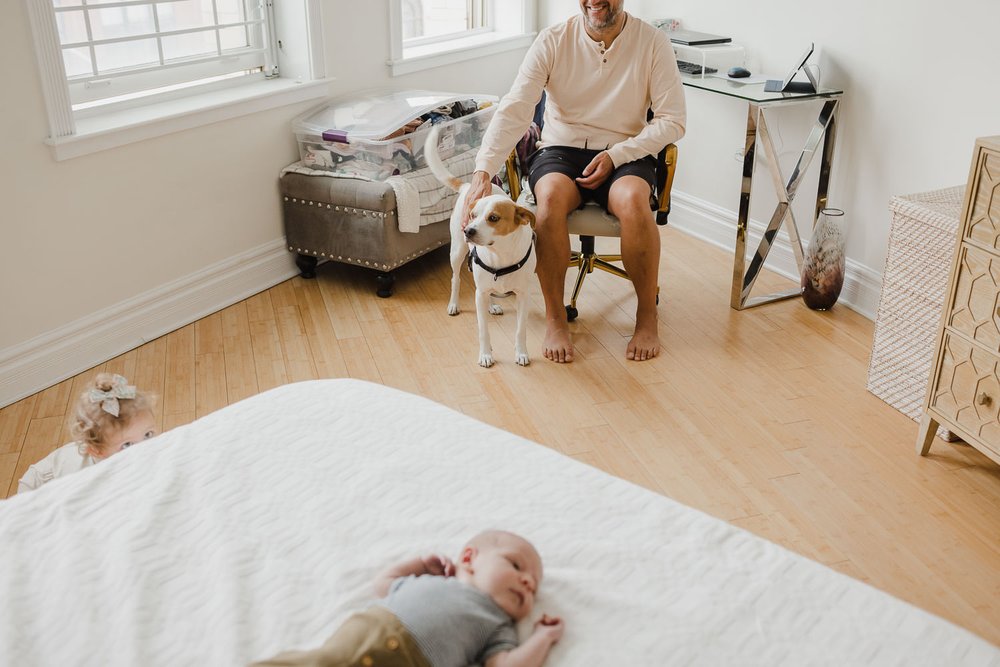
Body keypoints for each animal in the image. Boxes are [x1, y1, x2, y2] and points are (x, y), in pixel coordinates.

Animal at [424, 125, 540, 370]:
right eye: (473, 215)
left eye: (493, 218)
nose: (468, 231)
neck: (500, 255)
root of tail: (469, 186)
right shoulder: (479, 293)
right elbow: (483, 330)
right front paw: (486, 355)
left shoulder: (523, 295)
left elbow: (520, 329)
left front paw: (521, 353)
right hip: (457, 253)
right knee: (456, 279)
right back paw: (454, 304)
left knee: (487, 290)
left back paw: (493, 305)